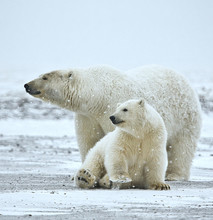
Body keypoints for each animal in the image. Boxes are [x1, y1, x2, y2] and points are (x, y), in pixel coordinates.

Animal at [24, 65, 201, 180]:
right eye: (41, 74)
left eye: (45, 77)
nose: (27, 85)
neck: (97, 96)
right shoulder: (87, 117)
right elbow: (89, 142)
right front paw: (86, 172)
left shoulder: (112, 109)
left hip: (185, 117)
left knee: (181, 147)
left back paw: (174, 175)